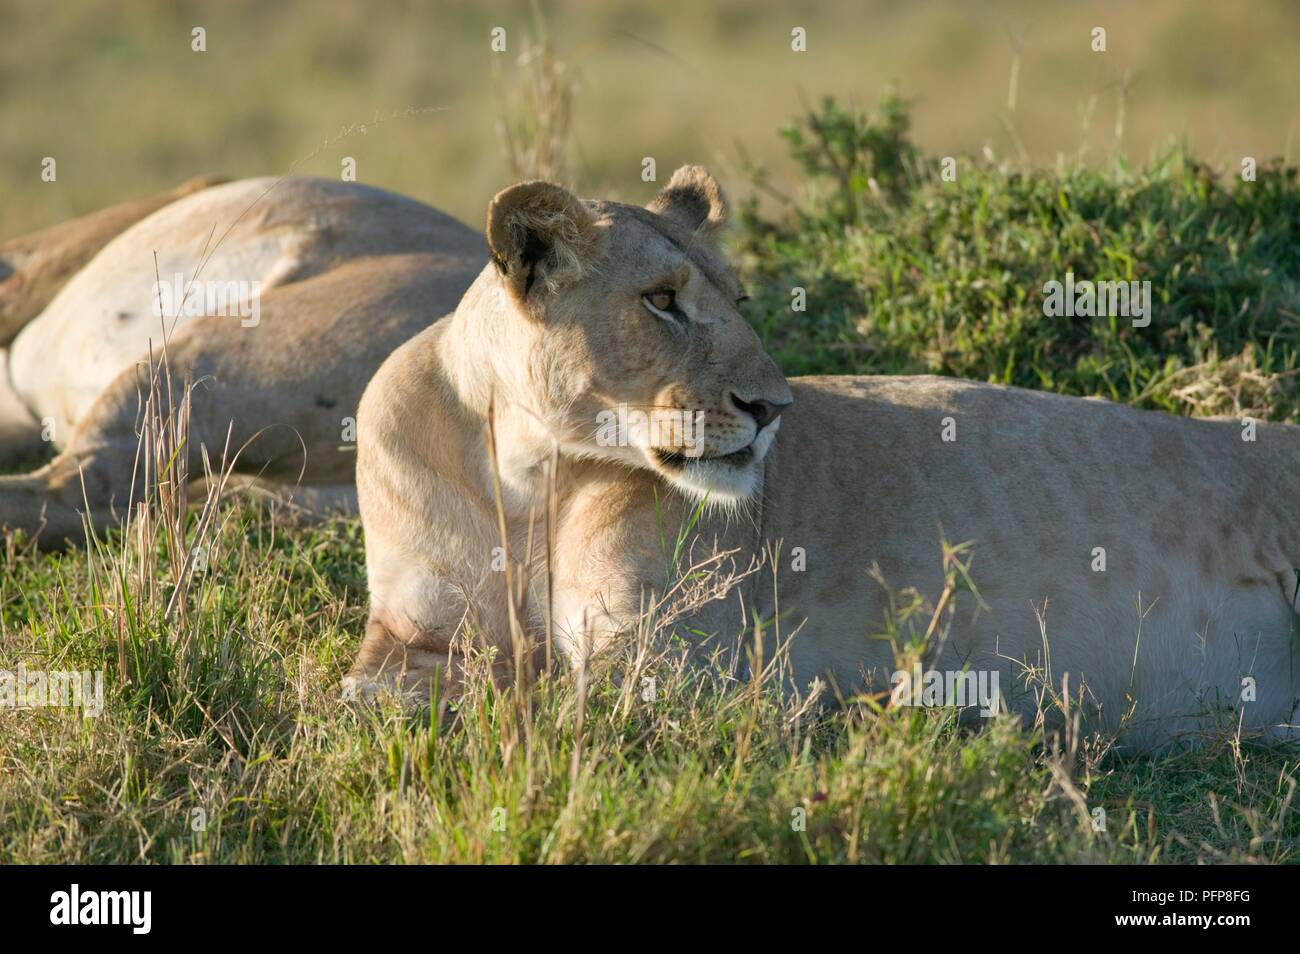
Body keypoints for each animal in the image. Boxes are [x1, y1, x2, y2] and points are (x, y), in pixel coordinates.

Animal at [350, 166, 1300, 749]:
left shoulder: (672, 671)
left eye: (738, 300)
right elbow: (361, 693)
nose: (773, 409)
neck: (522, 475)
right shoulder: (411, 630)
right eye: (661, 301)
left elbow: (527, 701)